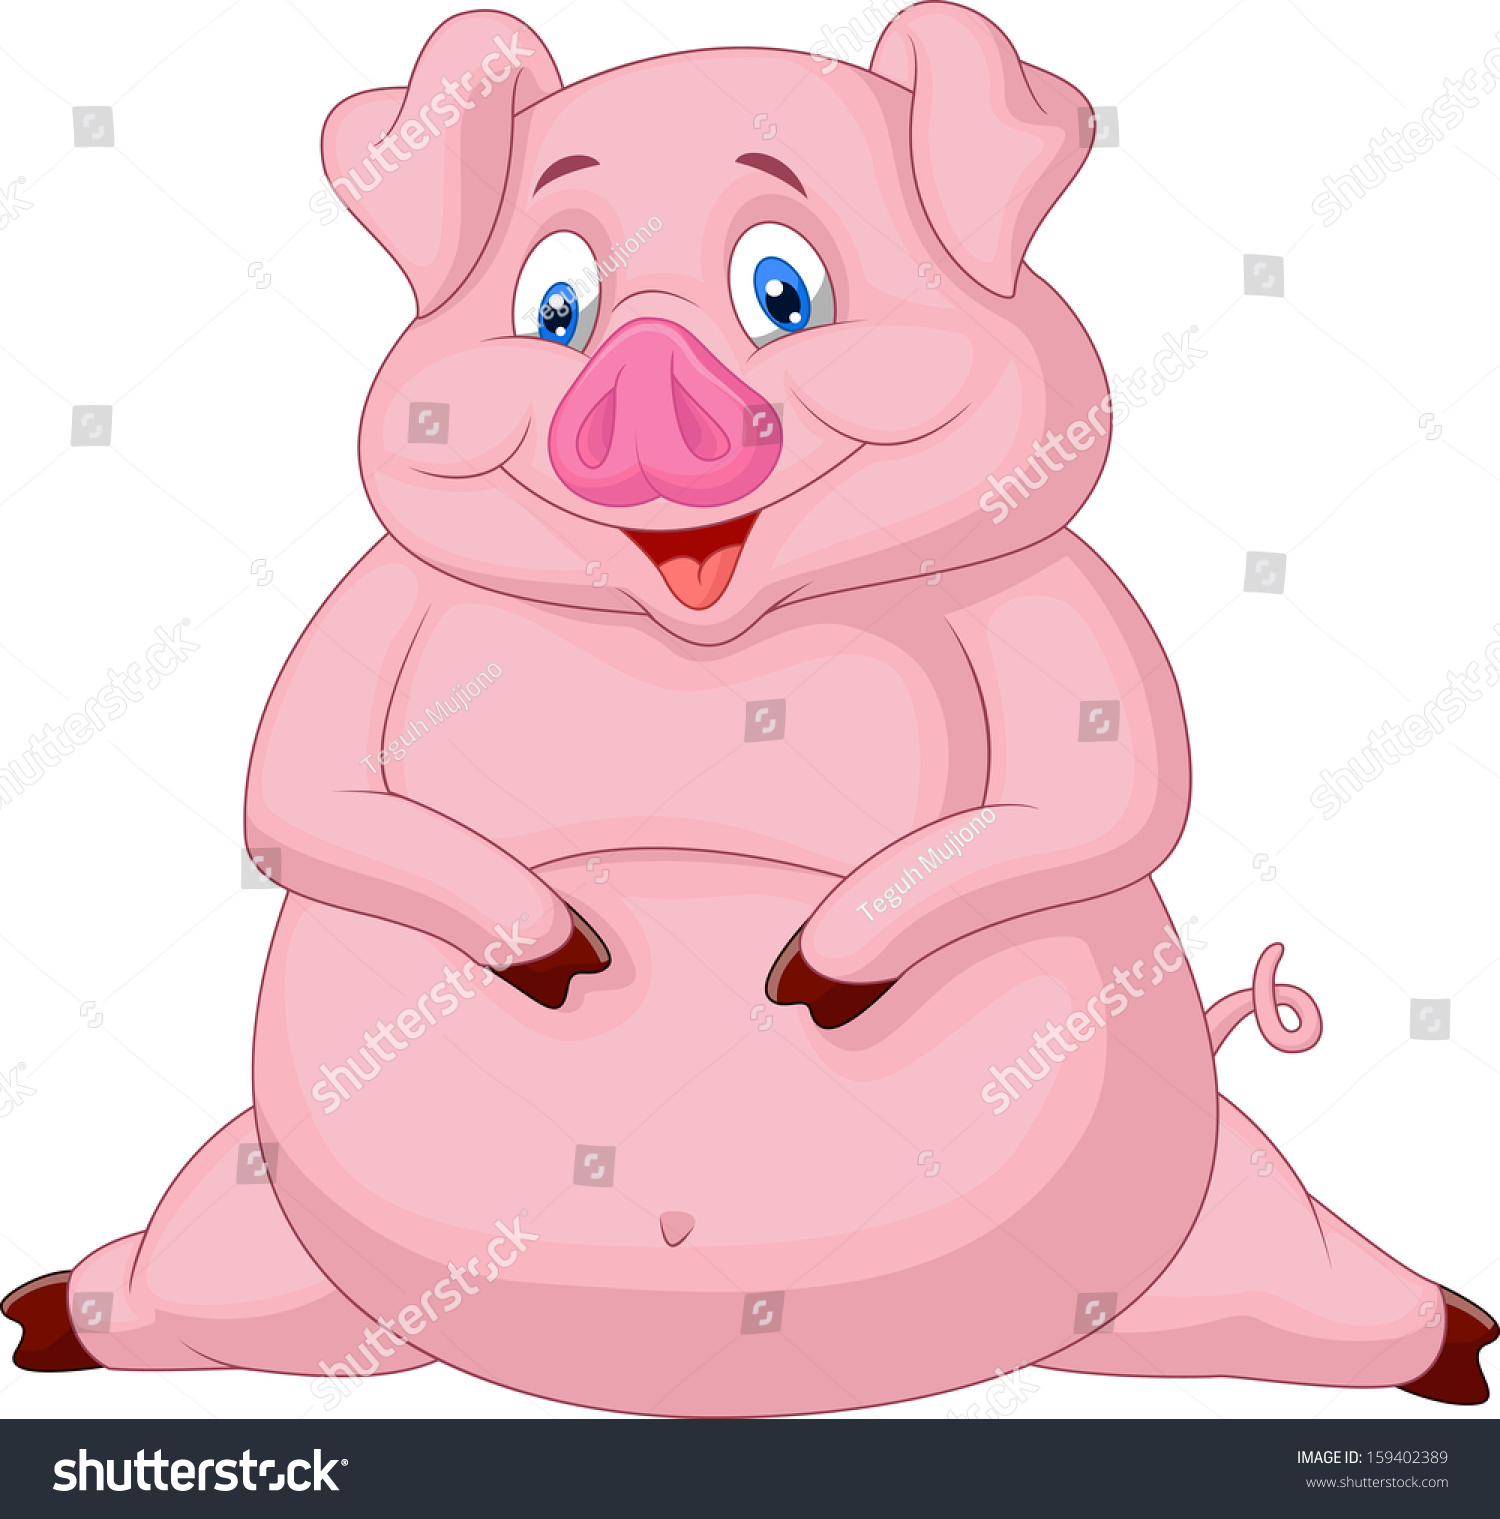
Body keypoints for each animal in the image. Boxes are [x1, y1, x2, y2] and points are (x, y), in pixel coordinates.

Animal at [5, 4, 1493, 1415]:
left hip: (1196, 1212)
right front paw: (565, 958)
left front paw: (812, 977)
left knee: (1287, 1273)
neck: (700, 633)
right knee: (206, 1279)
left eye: (783, 291)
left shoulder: (1055, 598)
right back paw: (51, 1314)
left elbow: (1114, 798)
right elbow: (294, 798)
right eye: (556, 307)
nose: (641, 404)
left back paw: (1453, 1341)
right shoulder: (372, 607)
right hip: (269, 1216)